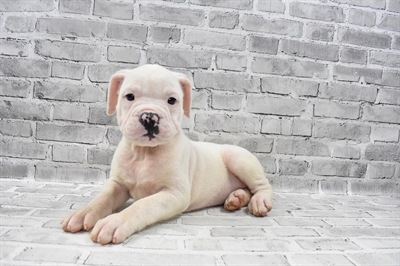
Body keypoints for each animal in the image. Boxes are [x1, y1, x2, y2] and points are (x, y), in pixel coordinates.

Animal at [61, 64, 276, 245]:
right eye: (129, 96)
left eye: (172, 100)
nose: (149, 117)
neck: (144, 152)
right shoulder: (118, 184)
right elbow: (102, 198)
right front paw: (83, 212)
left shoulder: (174, 194)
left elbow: (143, 205)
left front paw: (115, 222)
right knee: (247, 189)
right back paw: (236, 198)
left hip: (238, 159)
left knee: (262, 186)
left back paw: (259, 201)